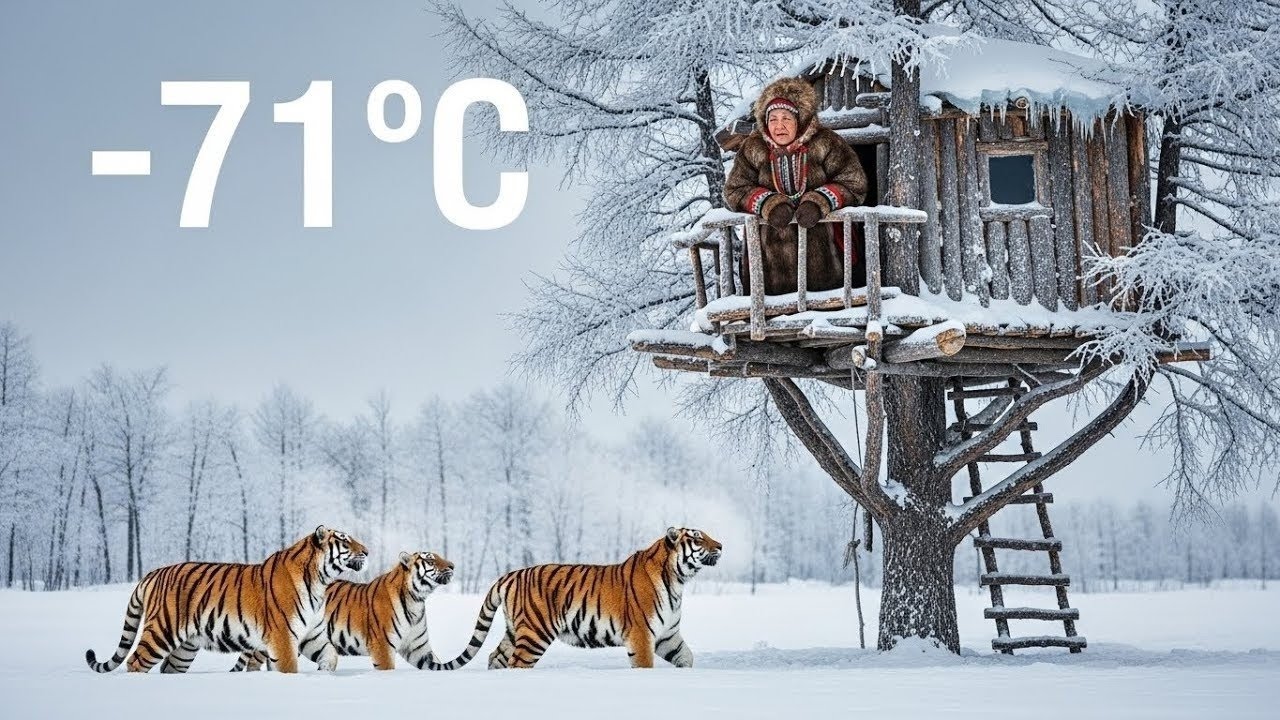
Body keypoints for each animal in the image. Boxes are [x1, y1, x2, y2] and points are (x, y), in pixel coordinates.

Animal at [84, 525, 367, 674]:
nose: (366, 551)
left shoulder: (312, 635)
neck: (320, 582)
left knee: (168, 668)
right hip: (161, 631)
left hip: (185, 647)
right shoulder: (283, 637)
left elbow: (330, 656)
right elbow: (288, 667)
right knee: (135, 661)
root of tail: (153, 573)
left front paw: (323, 676)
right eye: (344, 540)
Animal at [230, 550, 454, 672]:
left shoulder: (418, 648)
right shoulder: (382, 646)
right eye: (431, 560)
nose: (452, 565)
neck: (417, 600)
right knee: (254, 661)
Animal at [423, 527, 722, 670]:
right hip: (535, 634)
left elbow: (686, 657)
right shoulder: (641, 636)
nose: (720, 545)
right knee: (517, 663)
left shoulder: (667, 636)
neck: (677, 581)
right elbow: (645, 665)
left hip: (514, 631)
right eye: (698, 538)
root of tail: (510, 575)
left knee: (496, 657)